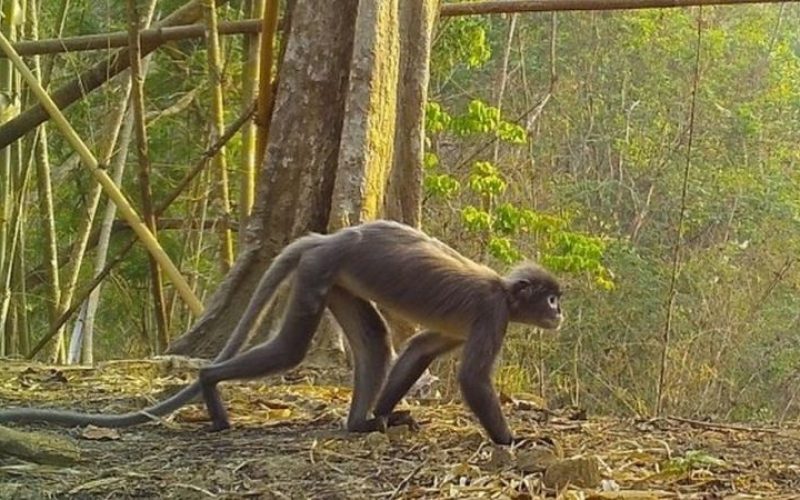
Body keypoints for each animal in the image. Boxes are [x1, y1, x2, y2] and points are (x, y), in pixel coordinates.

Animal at [0, 221, 564, 448]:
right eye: (551, 298)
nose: (559, 313)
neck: (504, 292)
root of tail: (327, 237)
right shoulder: (492, 313)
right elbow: (471, 379)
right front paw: (515, 440)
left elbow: (419, 348)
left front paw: (385, 415)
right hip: (320, 271)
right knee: (292, 348)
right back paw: (208, 384)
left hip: (332, 277)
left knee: (374, 338)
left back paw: (359, 423)